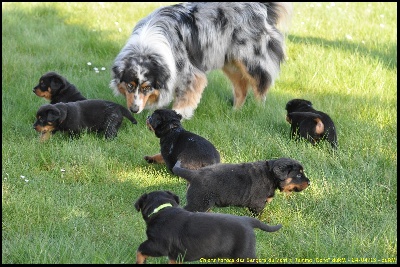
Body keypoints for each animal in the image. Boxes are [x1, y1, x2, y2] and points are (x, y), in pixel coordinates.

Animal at [134, 192, 282, 264]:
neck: (162, 209)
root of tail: (248, 220)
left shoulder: (158, 245)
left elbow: (140, 249)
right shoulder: (176, 256)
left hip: (245, 255)